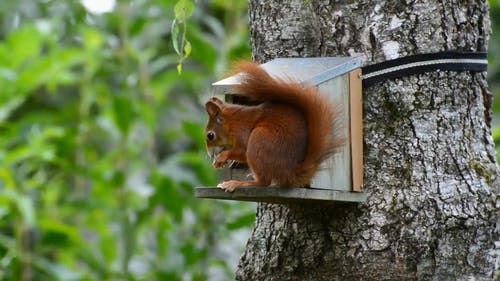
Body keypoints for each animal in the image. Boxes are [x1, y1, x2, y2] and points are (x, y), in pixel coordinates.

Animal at [203, 61, 344, 191]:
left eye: (210, 135)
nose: (209, 155)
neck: (232, 122)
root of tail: (290, 173)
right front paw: (221, 162)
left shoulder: (242, 130)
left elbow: (241, 151)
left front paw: (222, 157)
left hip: (259, 139)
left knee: (263, 182)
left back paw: (238, 183)